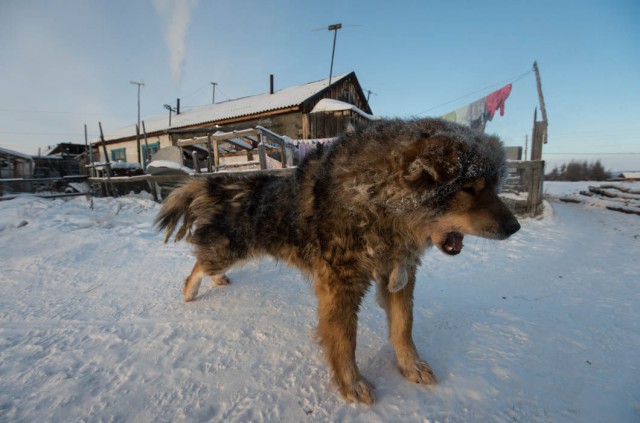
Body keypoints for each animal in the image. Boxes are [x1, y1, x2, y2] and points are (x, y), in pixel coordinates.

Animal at [155, 117, 520, 406]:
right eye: (470, 188)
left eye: (494, 186)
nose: (515, 227)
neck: (375, 200)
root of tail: (221, 183)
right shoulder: (340, 284)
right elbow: (345, 341)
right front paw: (351, 383)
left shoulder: (399, 274)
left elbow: (403, 328)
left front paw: (410, 365)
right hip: (227, 251)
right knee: (197, 265)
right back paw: (190, 291)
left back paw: (216, 282)